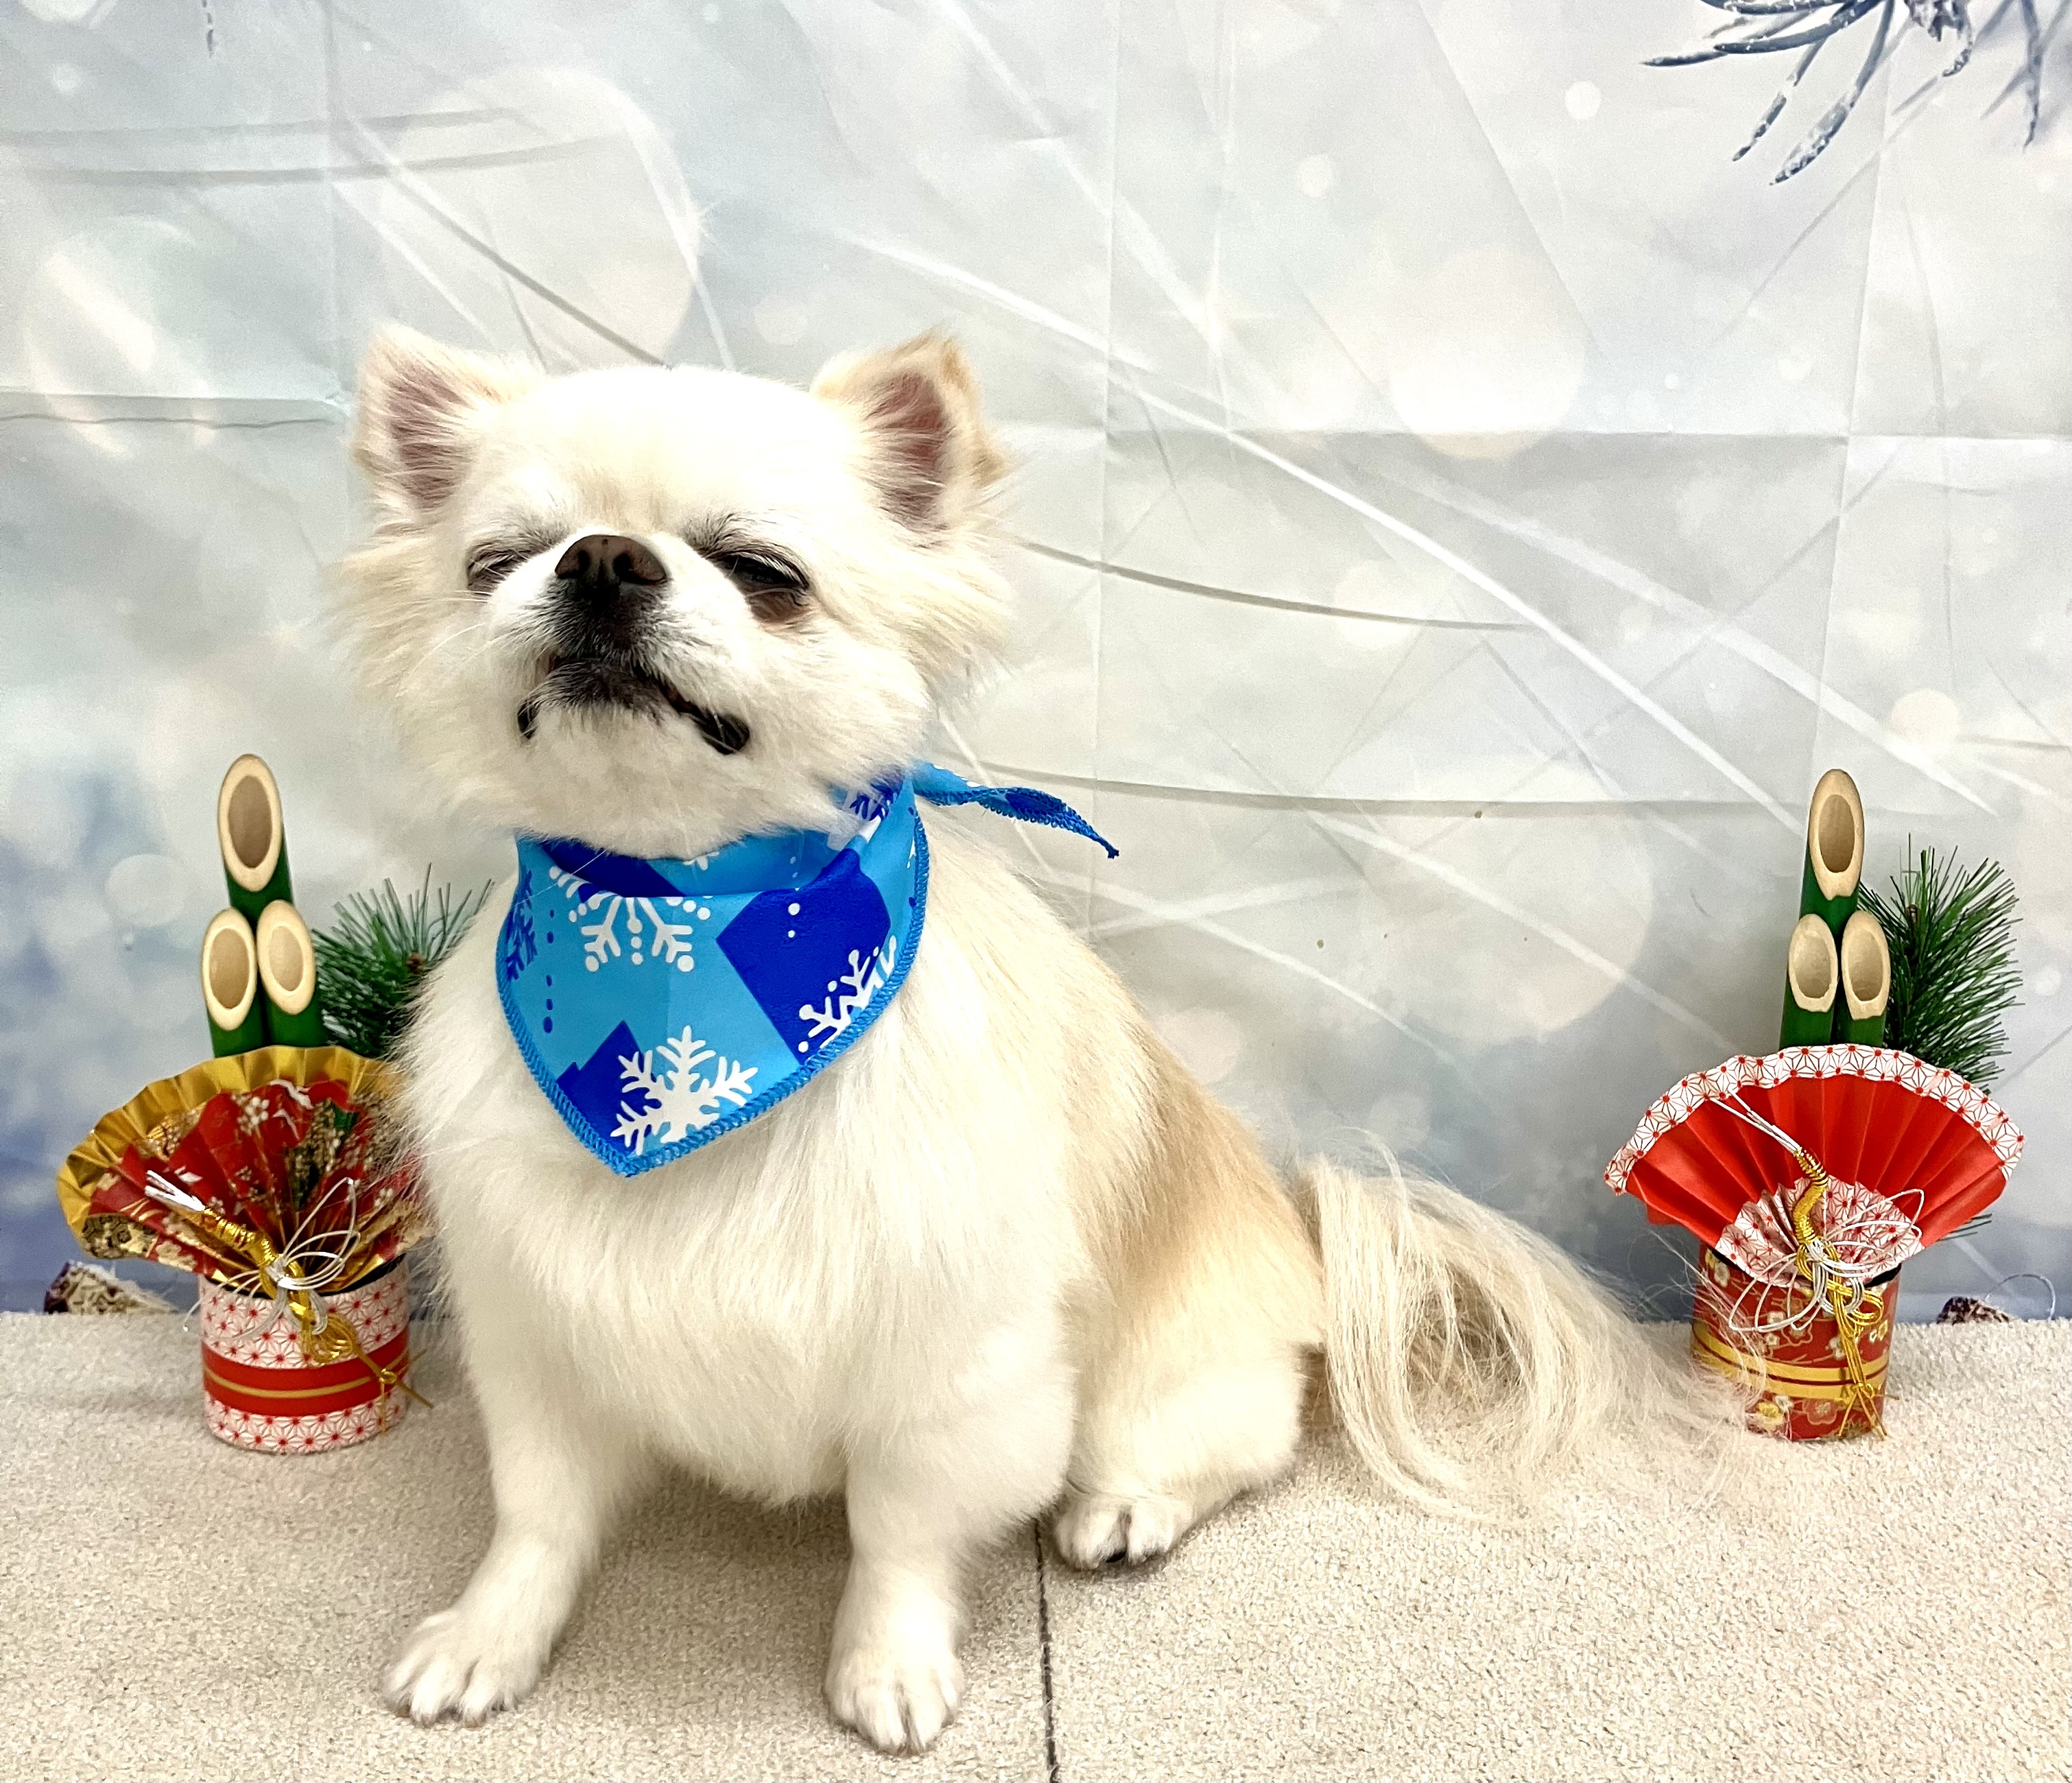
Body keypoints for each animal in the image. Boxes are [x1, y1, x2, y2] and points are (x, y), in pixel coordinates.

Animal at [340, 327, 1692, 1752]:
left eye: (766, 574)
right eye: (498, 559)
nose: (601, 557)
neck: (677, 946)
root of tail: (1304, 1242)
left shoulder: (949, 1362)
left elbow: (897, 1532)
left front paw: (887, 1662)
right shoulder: (539, 1336)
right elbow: (536, 1517)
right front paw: (490, 1634)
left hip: (1167, 1378)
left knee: (1229, 1446)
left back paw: (1126, 1507)